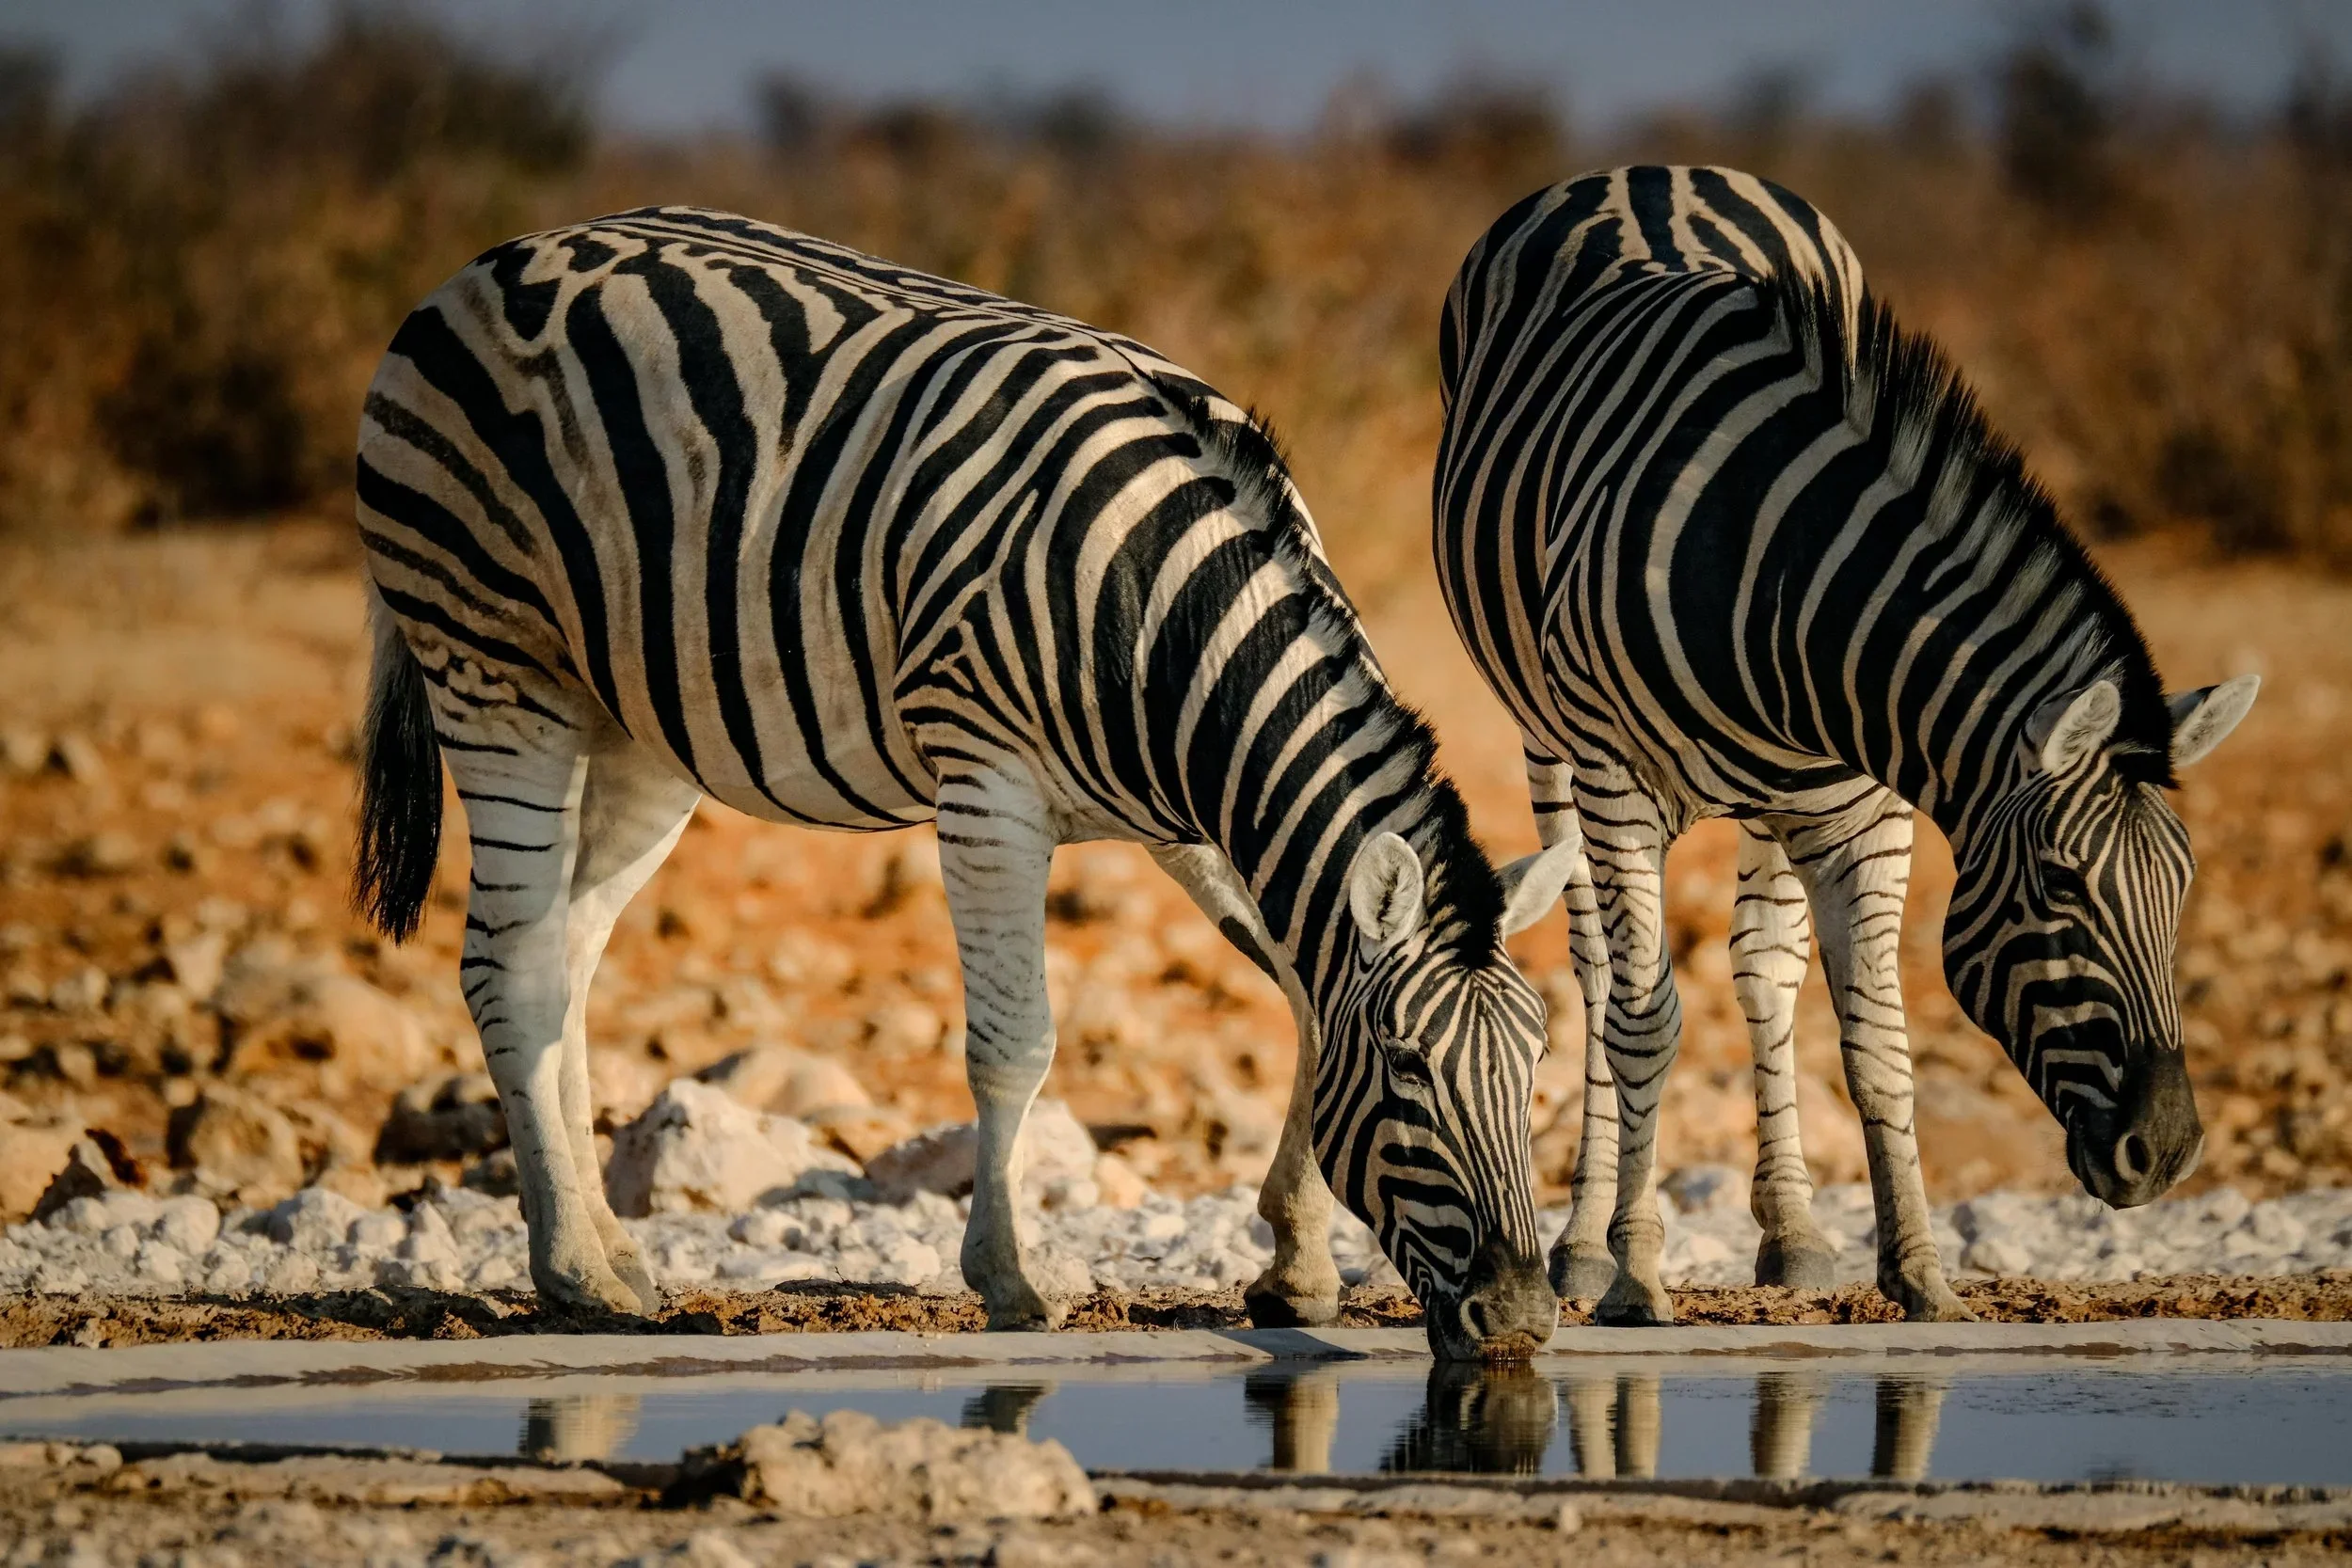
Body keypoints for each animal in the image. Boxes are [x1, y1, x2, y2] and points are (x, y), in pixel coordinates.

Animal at [350, 205, 1579, 1355]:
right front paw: (1010, 1278)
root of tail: (486, 264)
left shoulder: (1194, 818)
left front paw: (1297, 1263)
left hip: (635, 723)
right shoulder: (989, 787)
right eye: (1409, 1072)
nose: (1522, 1316)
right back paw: (572, 1275)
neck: (1165, 614)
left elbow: (1305, 994)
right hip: (494, 666)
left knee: (568, 956)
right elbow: (1015, 1042)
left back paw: (610, 1252)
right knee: (509, 965)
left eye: (1533, 1070)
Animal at [1433, 166, 2258, 1324]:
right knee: (1598, 975)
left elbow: (1875, 1040)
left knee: (1763, 969)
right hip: (1547, 739)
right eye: (2058, 886)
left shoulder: (1868, 808)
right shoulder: (1616, 779)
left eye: (2180, 885)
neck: (1774, 571)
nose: (2170, 1151)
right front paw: (1636, 1274)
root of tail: (1654, 168)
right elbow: (1644, 1018)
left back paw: (1793, 1231)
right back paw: (1587, 1245)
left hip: (1782, 802)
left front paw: (1919, 1271)